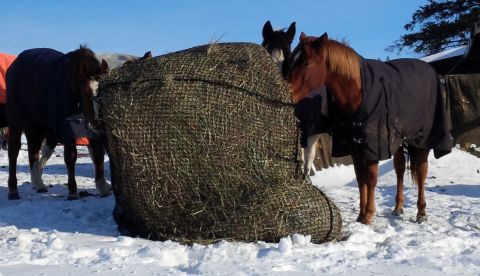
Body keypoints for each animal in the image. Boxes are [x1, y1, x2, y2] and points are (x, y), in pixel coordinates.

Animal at [6, 46, 109, 199]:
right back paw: (13, 190)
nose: (97, 121)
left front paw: (103, 187)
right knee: (13, 150)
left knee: (33, 150)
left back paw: (38, 183)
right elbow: (70, 156)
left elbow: (98, 154)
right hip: (16, 120)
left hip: (36, 125)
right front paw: (72, 191)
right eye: (86, 91)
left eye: (102, 91)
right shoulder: (67, 129)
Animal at [288, 33, 454, 224]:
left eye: (306, 63)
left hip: (421, 141)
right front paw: (361, 215)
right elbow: (361, 180)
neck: (357, 94)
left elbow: (372, 179)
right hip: (398, 142)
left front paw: (368, 215)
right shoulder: (356, 148)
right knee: (399, 170)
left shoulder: (373, 148)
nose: (288, 91)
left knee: (421, 172)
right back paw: (398, 208)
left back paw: (421, 213)